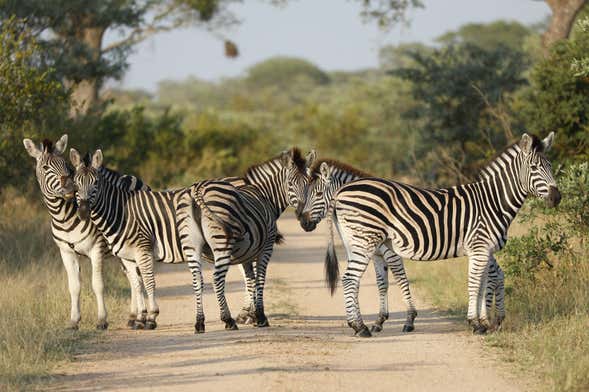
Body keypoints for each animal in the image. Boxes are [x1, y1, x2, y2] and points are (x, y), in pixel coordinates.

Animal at [22, 136, 152, 330]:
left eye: (65, 165)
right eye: (45, 167)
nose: (70, 187)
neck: (64, 217)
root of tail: (131, 177)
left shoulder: (96, 249)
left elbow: (97, 284)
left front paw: (102, 320)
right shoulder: (66, 252)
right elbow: (74, 286)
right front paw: (74, 321)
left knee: (139, 277)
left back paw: (140, 318)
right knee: (132, 277)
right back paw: (132, 317)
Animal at [70, 146, 312, 330]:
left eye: (310, 184)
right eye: (76, 184)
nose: (82, 211)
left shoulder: (138, 252)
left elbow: (144, 282)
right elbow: (142, 283)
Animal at [298, 132, 560, 336]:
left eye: (549, 166)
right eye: (535, 168)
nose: (557, 197)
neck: (491, 201)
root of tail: (343, 193)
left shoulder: (481, 250)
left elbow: (480, 281)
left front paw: (481, 323)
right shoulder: (478, 248)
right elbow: (473, 283)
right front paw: (475, 323)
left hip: (360, 244)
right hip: (364, 243)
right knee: (350, 278)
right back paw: (359, 327)